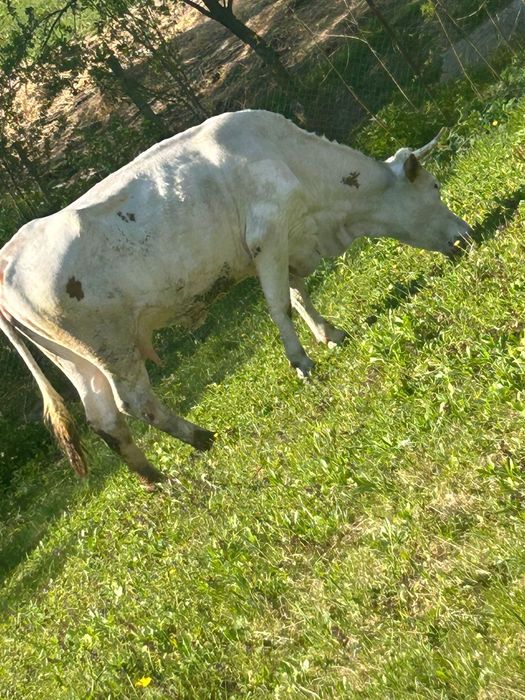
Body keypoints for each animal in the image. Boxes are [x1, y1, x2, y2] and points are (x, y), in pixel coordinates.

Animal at [0, 110, 471, 487]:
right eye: (434, 186)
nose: (466, 234)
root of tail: (9, 255)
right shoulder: (268, 235)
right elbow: (281, 305)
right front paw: (302, 363)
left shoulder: (285, 241)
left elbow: (299, 294)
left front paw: (329, 334)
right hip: (110, 344)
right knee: (134, 403)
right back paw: (200, 437)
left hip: (75, 359)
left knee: (105, 421)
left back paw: (156, 478)